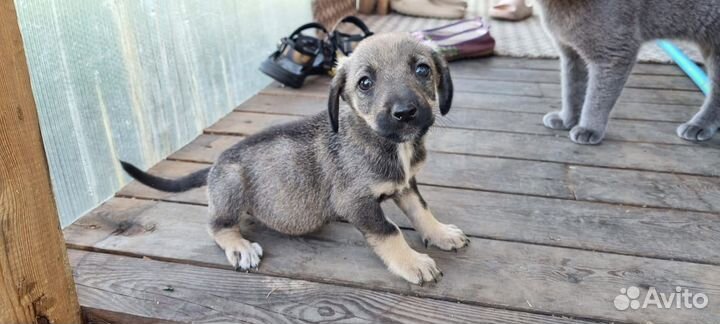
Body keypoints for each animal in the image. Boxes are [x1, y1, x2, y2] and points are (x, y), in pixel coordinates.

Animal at [121, 33, 470, 284]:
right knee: (216, 226)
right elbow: (390, 232)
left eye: (422, 69)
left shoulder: (406, 183)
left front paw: (441, 234)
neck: (390, 145)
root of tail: (214, 168)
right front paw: (413, 262)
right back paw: (240, 247)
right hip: (231, 182)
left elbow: (421, 210)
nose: (405, 113)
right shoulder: (355, 202)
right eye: (365, 83)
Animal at [536, 0, 716, 144]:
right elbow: (571, 90)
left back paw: (699, 125)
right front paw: (567, 120)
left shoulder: (613, 54)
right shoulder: (572, 55)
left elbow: (596, 99)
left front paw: (588, 129)